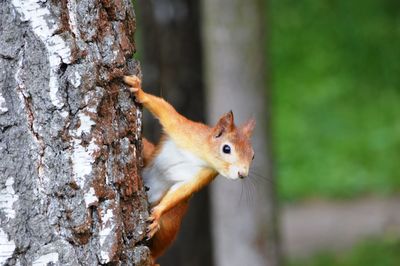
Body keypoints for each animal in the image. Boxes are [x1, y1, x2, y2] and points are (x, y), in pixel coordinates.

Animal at [123, 74, 255, 264]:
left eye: (253, 156)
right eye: (226, 149)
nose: (242, 174)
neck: (201, 155)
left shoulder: (204, 175)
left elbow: (183, 190)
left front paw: (157, 214)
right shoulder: (183, 129)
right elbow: (164, 108)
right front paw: (139, 90)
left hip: (171, 222)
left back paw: (152, 257)